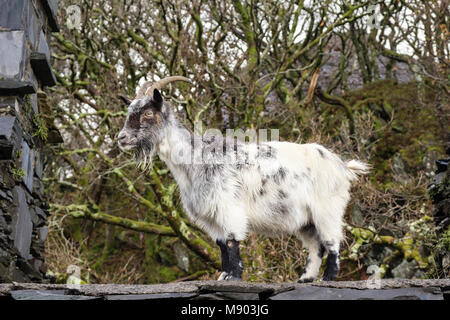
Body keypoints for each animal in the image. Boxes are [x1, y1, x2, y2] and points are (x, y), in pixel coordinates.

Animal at [118, 76, 370, 282]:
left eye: (148, 113)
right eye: (129, 113)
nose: (121, 138)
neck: (195, 160)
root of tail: (341, 166)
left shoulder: (228, 208)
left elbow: (232, 240)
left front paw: (235, 276)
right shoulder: (211, 216)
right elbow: (221, 245)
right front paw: (224, 275)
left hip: (327, 209)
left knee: (332, 242)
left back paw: (328, 278)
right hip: (306, 220)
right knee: (316, 246)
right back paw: (305, 279)